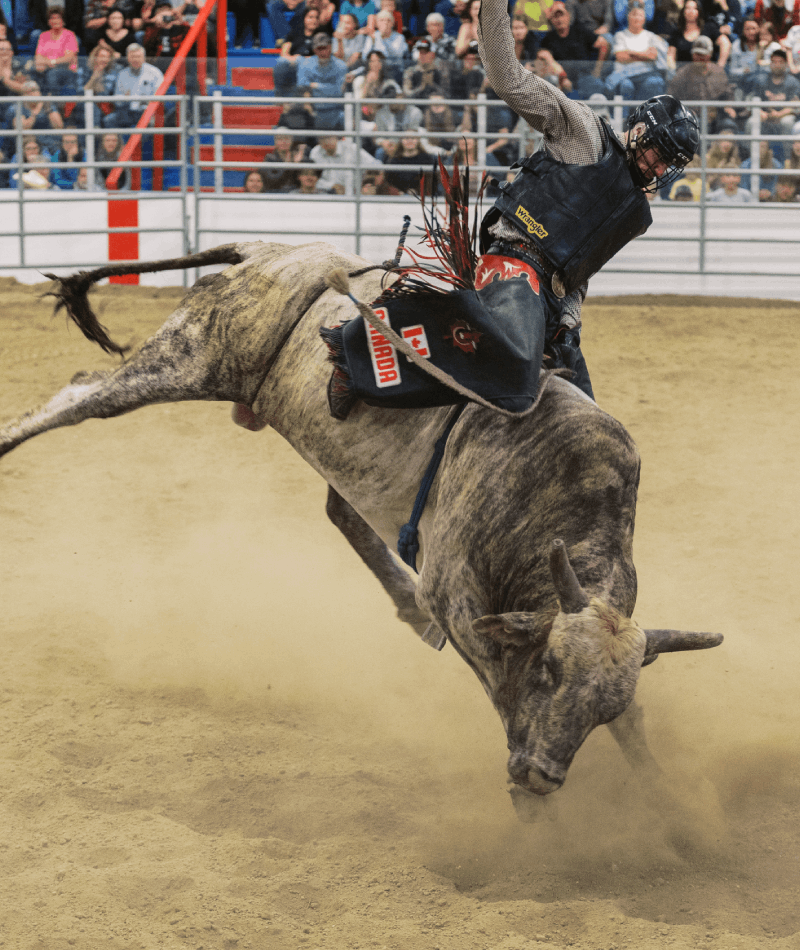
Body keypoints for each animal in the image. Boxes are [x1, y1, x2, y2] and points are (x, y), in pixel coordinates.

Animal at [0, 241, 722, 820]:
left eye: (601, 710)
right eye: (547, 667)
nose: (543, 776)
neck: (554, 498)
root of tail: (273, 253)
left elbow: (635, 732)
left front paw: (674, 810)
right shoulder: (457, 593)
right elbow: (497, 679)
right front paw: (526, 795)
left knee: (341, 511)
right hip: (191, 358)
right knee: (81, 394)